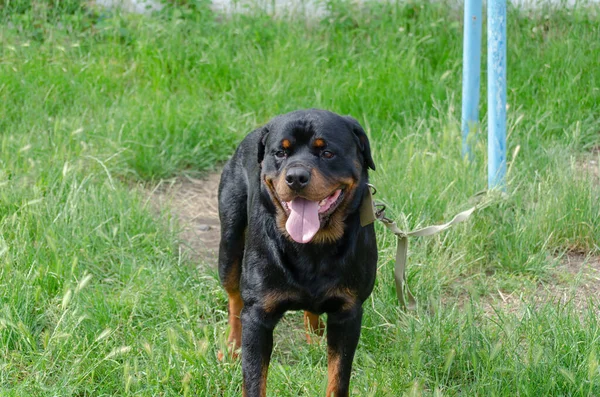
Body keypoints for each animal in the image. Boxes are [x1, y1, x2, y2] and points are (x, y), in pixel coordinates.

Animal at [218, 109, 378, 396]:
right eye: (280, 153)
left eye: (327, 152)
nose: (296, 177)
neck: (312, 248)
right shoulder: (258, 316)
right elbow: (254, 380)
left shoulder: (348, 312)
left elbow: (338, 377)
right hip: (229, 244)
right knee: (234, 298)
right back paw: (232, 347)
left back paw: (315, 338)